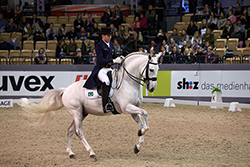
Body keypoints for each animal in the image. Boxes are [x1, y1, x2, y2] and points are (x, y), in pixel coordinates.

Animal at [20, 51, 159, 160]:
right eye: (151, 69)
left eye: (157, 69)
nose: (152, 88)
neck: (127, 82)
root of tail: (66, 90)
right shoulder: (126, 108)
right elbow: (145, 114)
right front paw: (141, 133)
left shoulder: (132, 110)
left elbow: (141, 122)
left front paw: (138, 145)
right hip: (76, 112)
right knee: (78, 131)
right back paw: (92, 153)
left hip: (82, 113)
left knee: (70, 130)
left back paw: (70, 153)